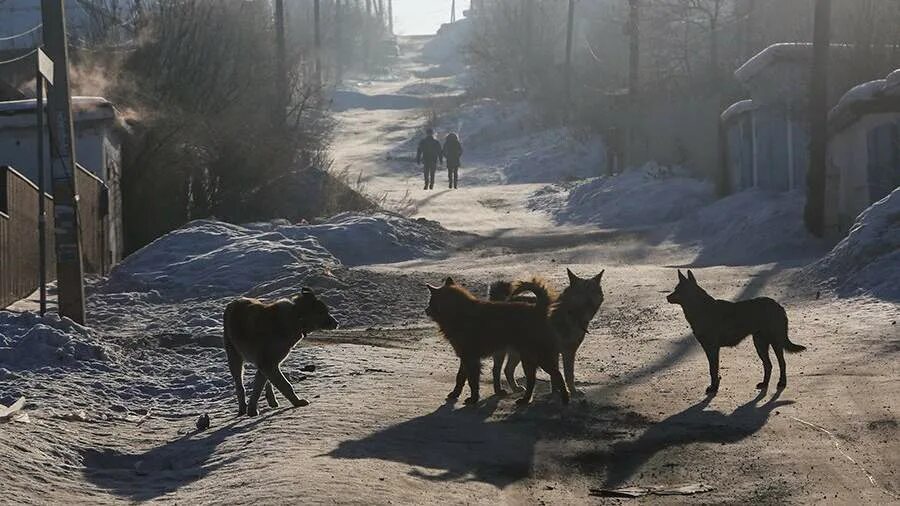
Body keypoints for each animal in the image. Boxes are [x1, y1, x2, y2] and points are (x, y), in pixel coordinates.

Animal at [223, 288, 340, 416]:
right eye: (322, 312)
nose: (337, 323)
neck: (296, 317)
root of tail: (233, 302)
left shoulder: (268, 364)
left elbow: (259, 387)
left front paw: (252, 408)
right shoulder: (268, 364)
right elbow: (285, 385)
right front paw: (297, 402)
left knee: (263, 380)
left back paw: (271, 401)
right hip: (234, 357)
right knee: (240, 386)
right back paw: (242, 408)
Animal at [426, 278, 568, 406]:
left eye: (431, 301)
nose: (426, 310)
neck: (459, 312)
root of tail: (538, 309)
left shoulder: (471, 359)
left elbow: (472, 381)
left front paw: (473, 399)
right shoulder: (465, 357)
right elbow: (460, 376)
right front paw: (455, 393)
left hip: (537, 356)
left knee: (556, 375)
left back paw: (565, 399)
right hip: (526, 357)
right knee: (531, 379)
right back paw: (526, 400)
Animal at [488, 268, 608, 396]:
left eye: (593, 290)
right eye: (580, 292)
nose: (589, 302)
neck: (569, 314)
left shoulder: (569, 352)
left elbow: (567, 374)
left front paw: (560, 392)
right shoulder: (557, 351)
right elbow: (563, 375)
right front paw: (566, 393)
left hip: (519, 350)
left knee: (508, 369)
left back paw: (515, 388)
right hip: (502, 350)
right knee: (496, 369)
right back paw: (499, 390)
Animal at [664, 268, 804, 396]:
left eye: (678, 290)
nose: (667, 297)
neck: (700, 308)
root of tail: (778, 306)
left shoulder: (712, 348)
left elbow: (713, 369)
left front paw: (713, 388)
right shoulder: (709, 348)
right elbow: (713, 369)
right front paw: (715, 385)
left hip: (775, 341)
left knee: (782, 363)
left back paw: (782, 382)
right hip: (759, 343)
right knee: (768, 365)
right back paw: (764, 383)